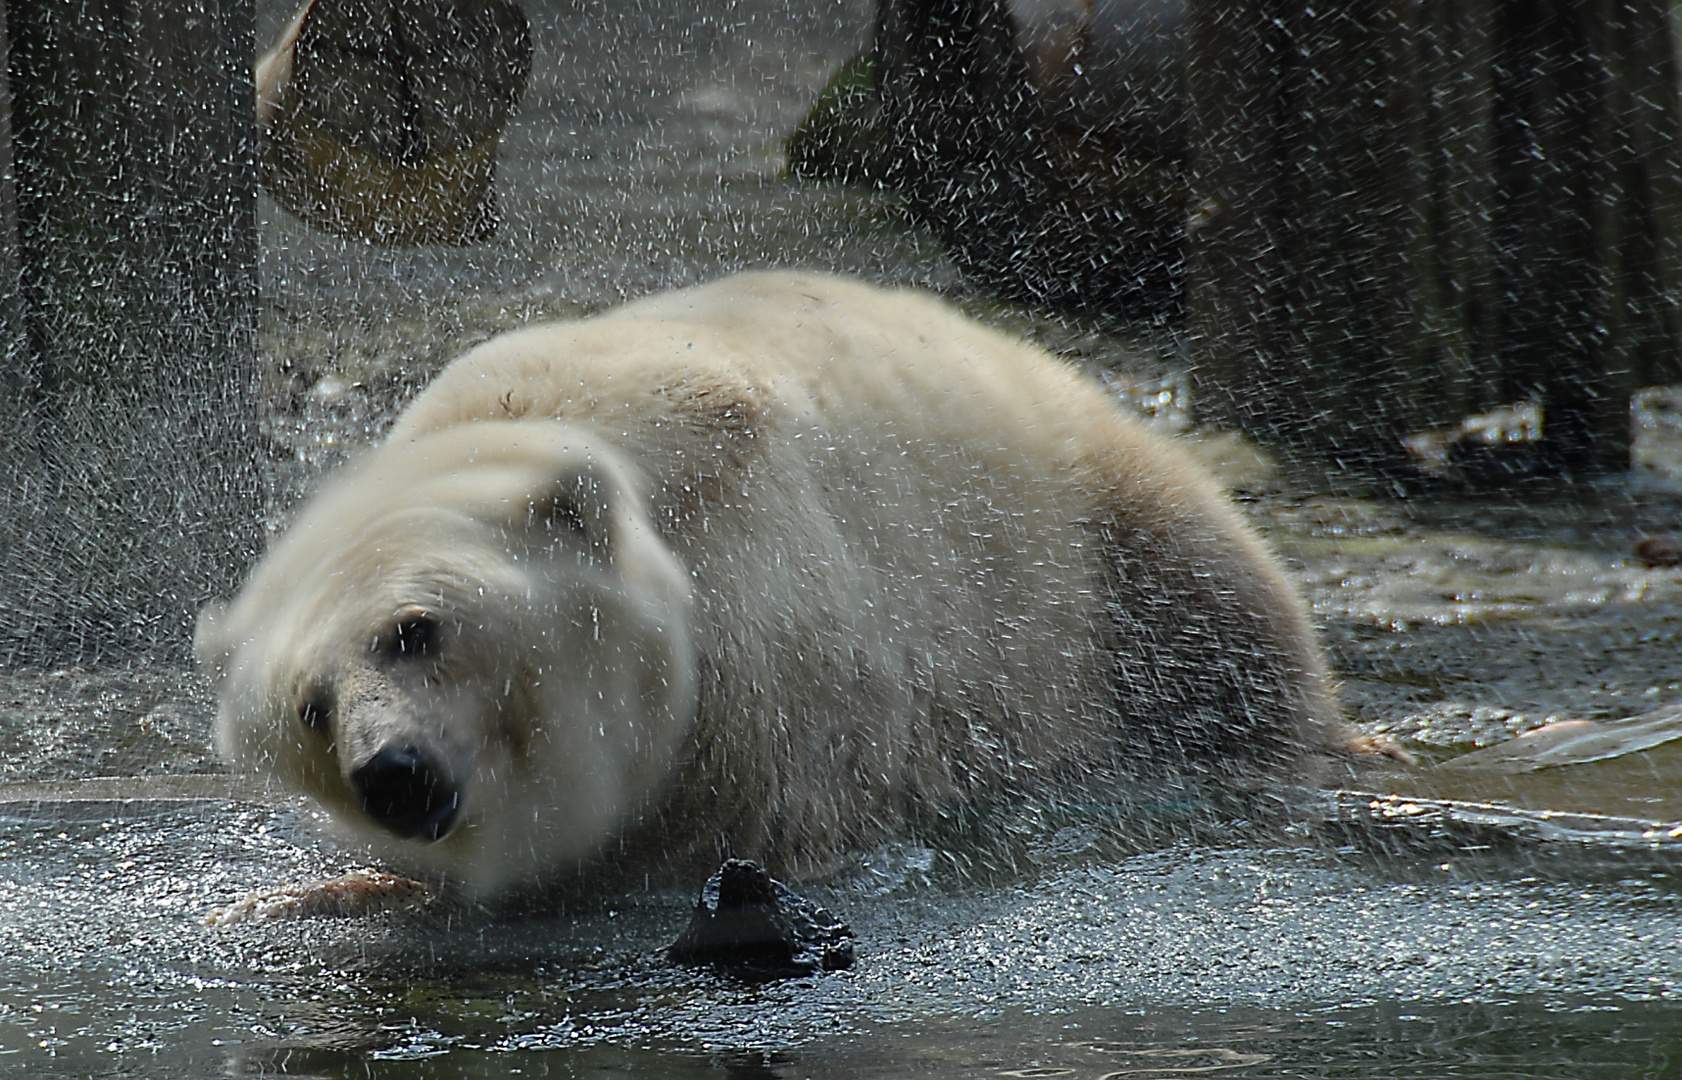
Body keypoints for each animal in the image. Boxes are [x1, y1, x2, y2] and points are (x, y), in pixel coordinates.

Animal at [196, 272, 1345, 894]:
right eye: (309, 708)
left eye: (415, 628)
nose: (391, 772)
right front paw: (305, 896)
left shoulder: (769, 653)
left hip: (1089, 523)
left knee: (1217, 618)